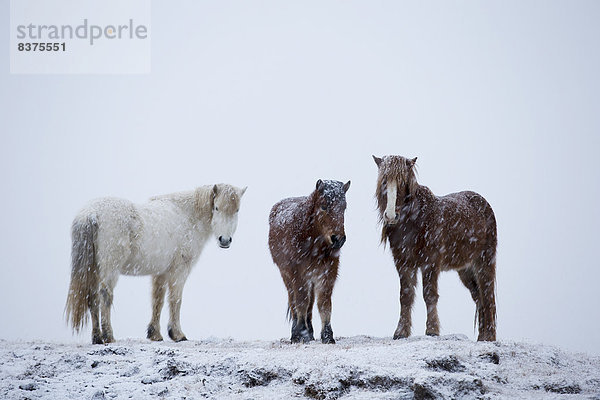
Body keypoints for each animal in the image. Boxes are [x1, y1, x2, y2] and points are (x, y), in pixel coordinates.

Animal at [64, 184, 245, 344]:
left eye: (236, 210)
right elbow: (175, 299)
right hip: (110, 269)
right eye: (216, 208)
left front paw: (155, 334)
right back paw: (108, 336)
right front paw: (177, 334)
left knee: (92, 297)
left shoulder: (161, 272)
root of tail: (91, 214)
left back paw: (97, 338)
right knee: (104, 295)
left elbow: (157, 300)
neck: (187, 216)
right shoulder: (179, 270)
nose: (224, 240)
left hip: (93, 270)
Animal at [270, 179, 350, 344]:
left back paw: (310, 332)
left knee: (310, 304)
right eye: (323, 205)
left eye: (344, 207)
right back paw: (297, 333)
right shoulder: (298, 274)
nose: (338, 239)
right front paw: (301, 333)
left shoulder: (327, 273)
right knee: (294, 301)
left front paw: (327, 336)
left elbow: (324, 304)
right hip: (287, 276)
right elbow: (301, 302)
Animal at [376, 155, 496, 340]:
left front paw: (432, 330)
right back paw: (482, 338)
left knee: (487, 296)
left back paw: (489, 337)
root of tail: (484, 203)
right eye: (383, 181)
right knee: (478, 298)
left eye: (402, 182)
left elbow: (430, 295)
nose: (390, 215)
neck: (414, 221)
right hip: (466, 270)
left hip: (484, 262)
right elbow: (406, 296)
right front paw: (401, 332)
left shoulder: (430, 263)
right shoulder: (403, 263)